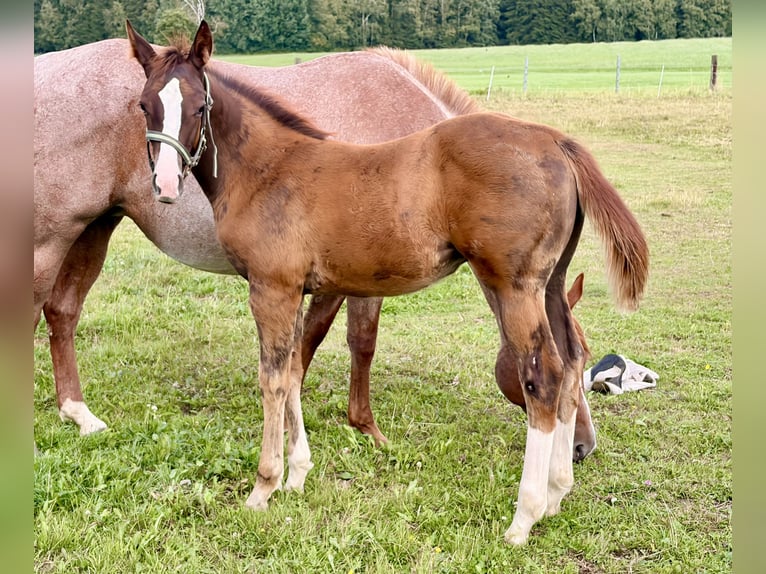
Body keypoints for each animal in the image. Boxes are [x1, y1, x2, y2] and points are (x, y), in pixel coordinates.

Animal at [33, 36, 598, 459]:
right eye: (576, 363)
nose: (582, 447)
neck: (428, 155)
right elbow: (350, 343)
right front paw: (358, 427)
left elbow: (309, 344)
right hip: (51, 240)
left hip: (93, 228)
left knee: (62, 313)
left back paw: (77, 413)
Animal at [127, 21, 648, 545]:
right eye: (145, 105)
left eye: (199, 107)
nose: (166, 185)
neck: (268, 169)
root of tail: (556, 141)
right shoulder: (299, 289)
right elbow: (294, 370)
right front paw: (298, 474)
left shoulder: (272, 288)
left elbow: (273, 378)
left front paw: (264, 487)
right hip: (552, 283)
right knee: (571, 361)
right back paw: (558, 493)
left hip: (514, 285)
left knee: (544, 377)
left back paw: (524, 516)